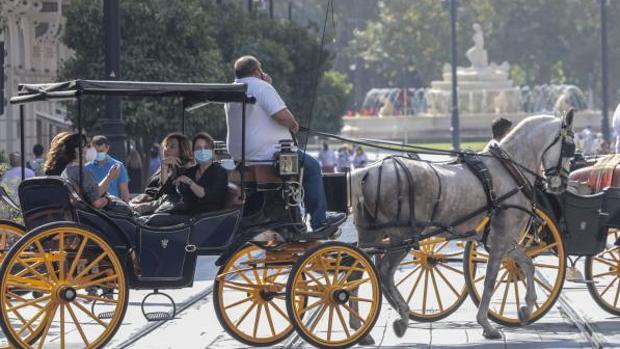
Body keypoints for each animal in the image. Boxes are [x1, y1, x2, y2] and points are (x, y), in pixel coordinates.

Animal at [352, 111, 572, 338]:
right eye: (570, 146)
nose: (562, 183)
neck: (509, 169)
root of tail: (368, 172)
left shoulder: (503, 239)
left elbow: (527, 264)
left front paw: (526, 308)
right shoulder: (501, 237)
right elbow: (491, 278)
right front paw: (486, 323)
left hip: (371, 235)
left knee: (357, 270)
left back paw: (360, 326)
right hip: (402, 237)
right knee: (384, 272)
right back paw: (401, 316)